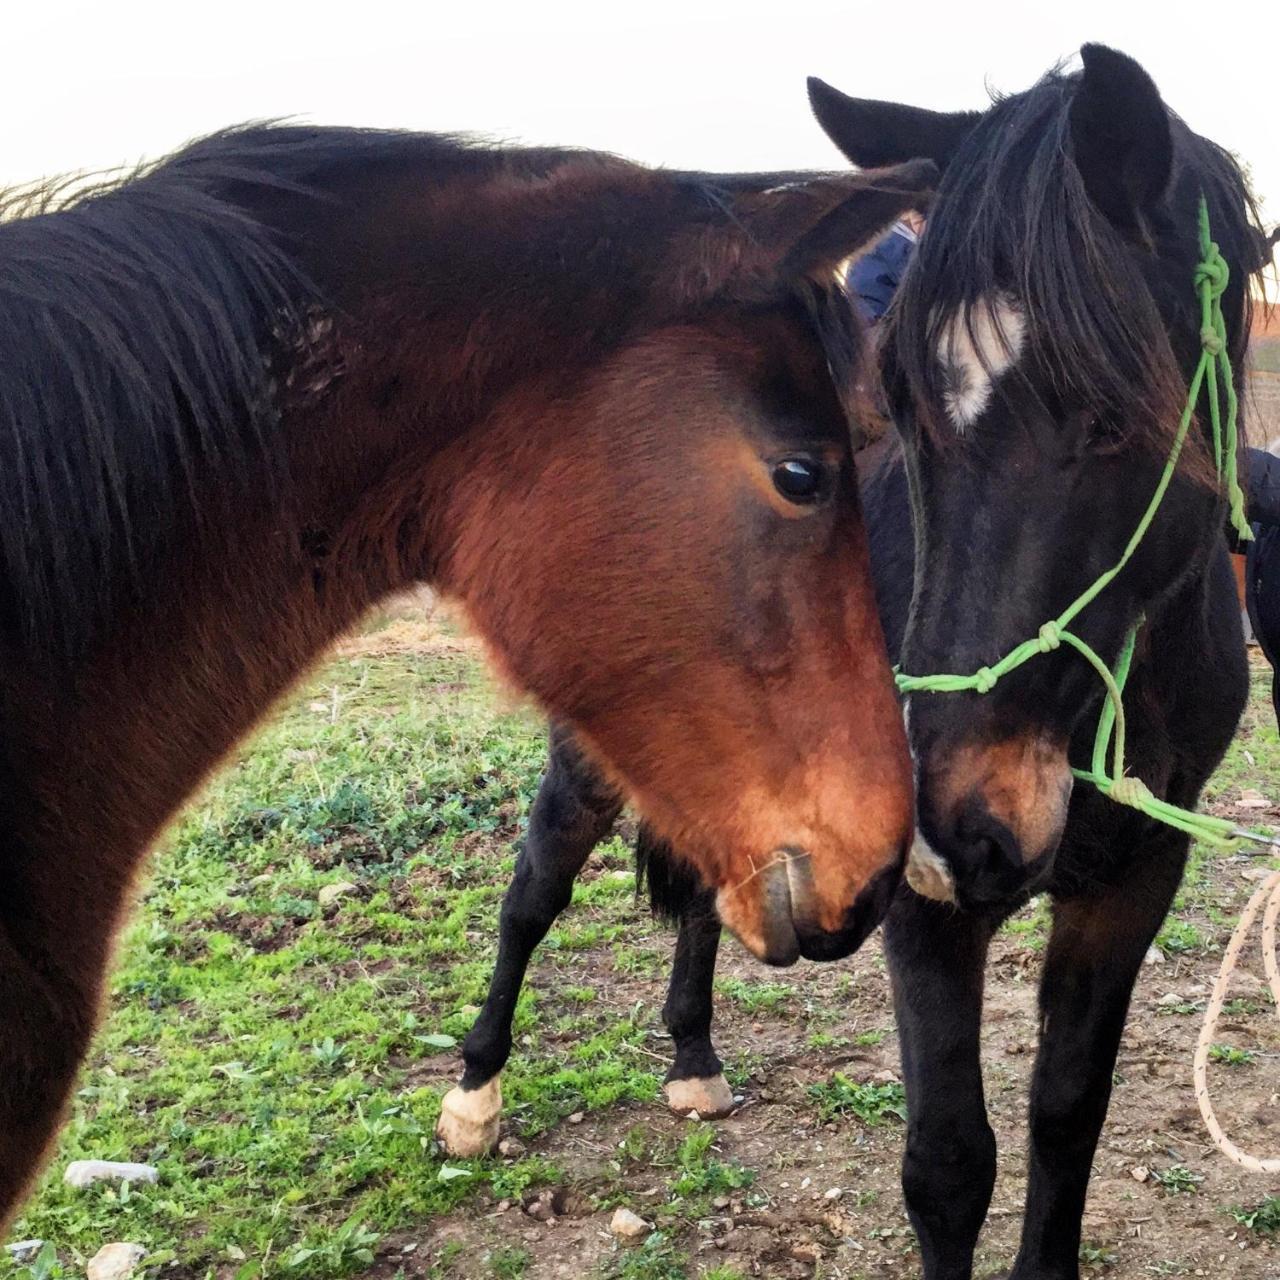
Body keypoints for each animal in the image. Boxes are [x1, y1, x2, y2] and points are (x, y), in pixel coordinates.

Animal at [445, 45, 1274, 1280]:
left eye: (1110, 413)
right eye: (901, 408)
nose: (955, 818)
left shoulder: (1133, 879)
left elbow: (1067, 1111)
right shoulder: (921, 906)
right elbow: (948, 1163)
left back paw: (693, 1058)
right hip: (589, 767)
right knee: (530, 894)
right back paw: (473, 1095)